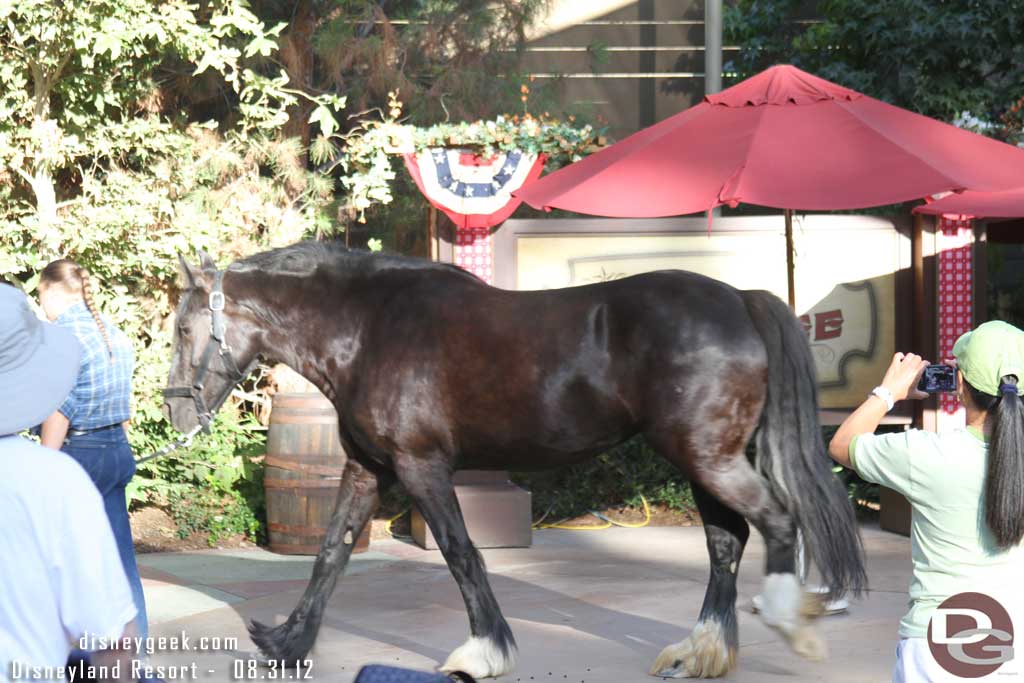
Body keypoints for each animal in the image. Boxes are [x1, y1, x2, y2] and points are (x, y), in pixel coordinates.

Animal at [161, 242, 864, 679]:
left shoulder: (420, 467)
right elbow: (330, 552)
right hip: (704, 460)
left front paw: (484, 652)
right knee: (727, 542)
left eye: (183, 330)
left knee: (774, 521)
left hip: (704, 456)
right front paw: (287, 642)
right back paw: (700, 652)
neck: (368, 328)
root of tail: (740, 297)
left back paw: (790, 621)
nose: (176, 416)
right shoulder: (368, 468)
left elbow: (461, 553)